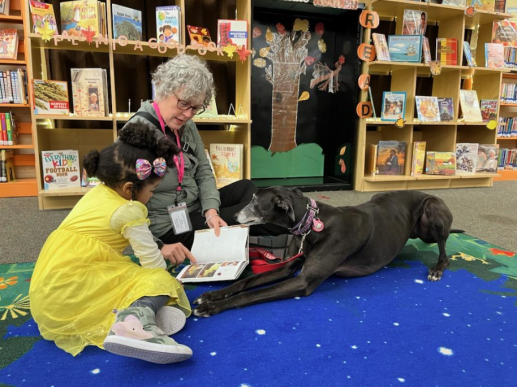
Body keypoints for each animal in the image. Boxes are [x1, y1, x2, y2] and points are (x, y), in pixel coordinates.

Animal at [194, 188, 456, 318]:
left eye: (256, 203)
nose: (234, 216)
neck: (312, 224)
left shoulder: (303, 281)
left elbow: (250, 294)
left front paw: (211, 307)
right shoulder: (288, 266)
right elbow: (246, 282)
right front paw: (212, 295)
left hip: (433, 211)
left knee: (445, 252)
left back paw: (436, 269)